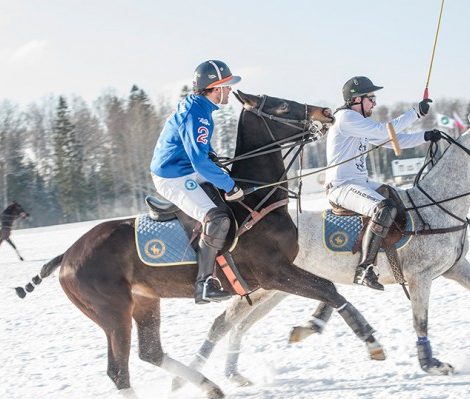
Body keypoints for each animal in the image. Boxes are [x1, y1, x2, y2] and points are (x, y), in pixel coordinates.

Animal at [16, 91, 384, 399]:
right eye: (281, 105)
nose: (327, 112)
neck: (255, 198)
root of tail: (67, 255)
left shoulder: (276, 275)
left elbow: (327, 291)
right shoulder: (273, 272)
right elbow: (329, 290)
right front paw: (370, 339)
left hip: (145, 302)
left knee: (150, 352)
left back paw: (208, 386)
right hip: (113, 312)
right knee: (119, 371)